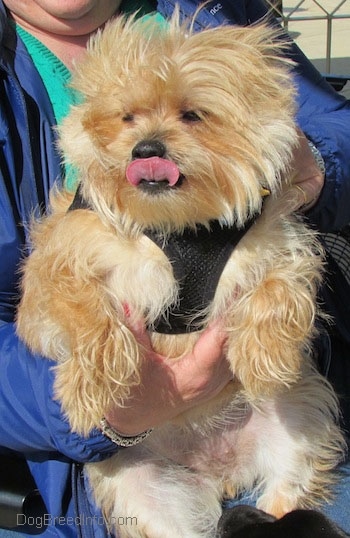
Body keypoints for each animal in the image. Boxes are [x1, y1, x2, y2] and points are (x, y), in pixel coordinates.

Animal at [16, 11, 344, 536]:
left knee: (287, 494)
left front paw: (266, 356)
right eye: (127, 116)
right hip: (143, 491)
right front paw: (89, 388)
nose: (145, 148)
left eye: (192, 114)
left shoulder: (279, 241)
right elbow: (86, 312)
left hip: (300, 420)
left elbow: (279, 291)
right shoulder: (62, 258)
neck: (178, 223)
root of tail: (221, 475)